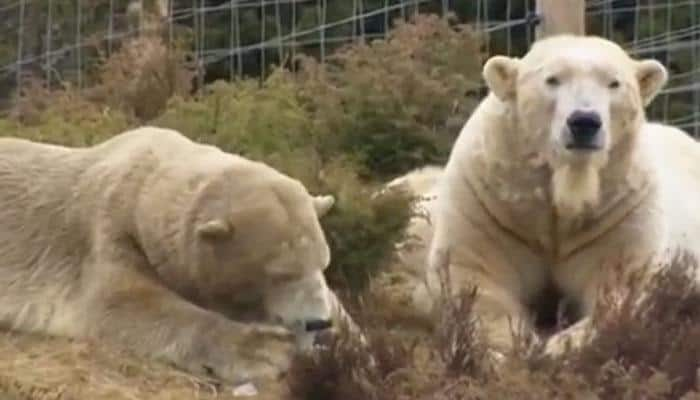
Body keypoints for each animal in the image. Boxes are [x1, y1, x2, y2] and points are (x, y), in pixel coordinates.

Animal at [0, 126, 356, 386]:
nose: (317, 322)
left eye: (323, 264)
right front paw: (266, 349)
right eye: (282, 273)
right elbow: (125, 302)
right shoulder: (106, 231)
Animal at [392, 33, 700, 354]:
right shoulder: (489, 200)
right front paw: (511, 346)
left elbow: (623, 287)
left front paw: (559, 346)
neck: (568, 188)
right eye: (552, 79)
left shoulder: (619, 208)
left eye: (614, 83)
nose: (584, 122)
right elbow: (475, 274)